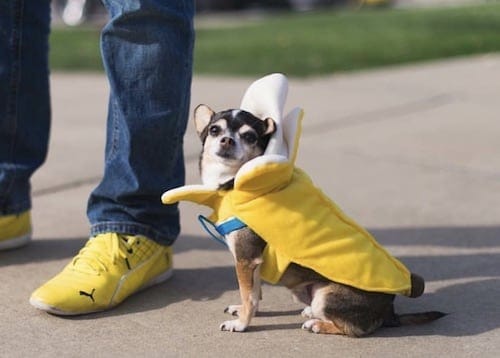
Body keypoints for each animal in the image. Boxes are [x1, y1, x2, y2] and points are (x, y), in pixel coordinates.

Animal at [192, 103, 446, 336]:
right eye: (214, 130)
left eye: (249, 136)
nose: (226, 140)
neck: (234, 181)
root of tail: (390, 313)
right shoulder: (251, 263)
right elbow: (254, 292)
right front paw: (244, 310)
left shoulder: (246, 258)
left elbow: (249, 295)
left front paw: (242, 324)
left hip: (327, 296)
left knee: (353, 329)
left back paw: (318, 324)